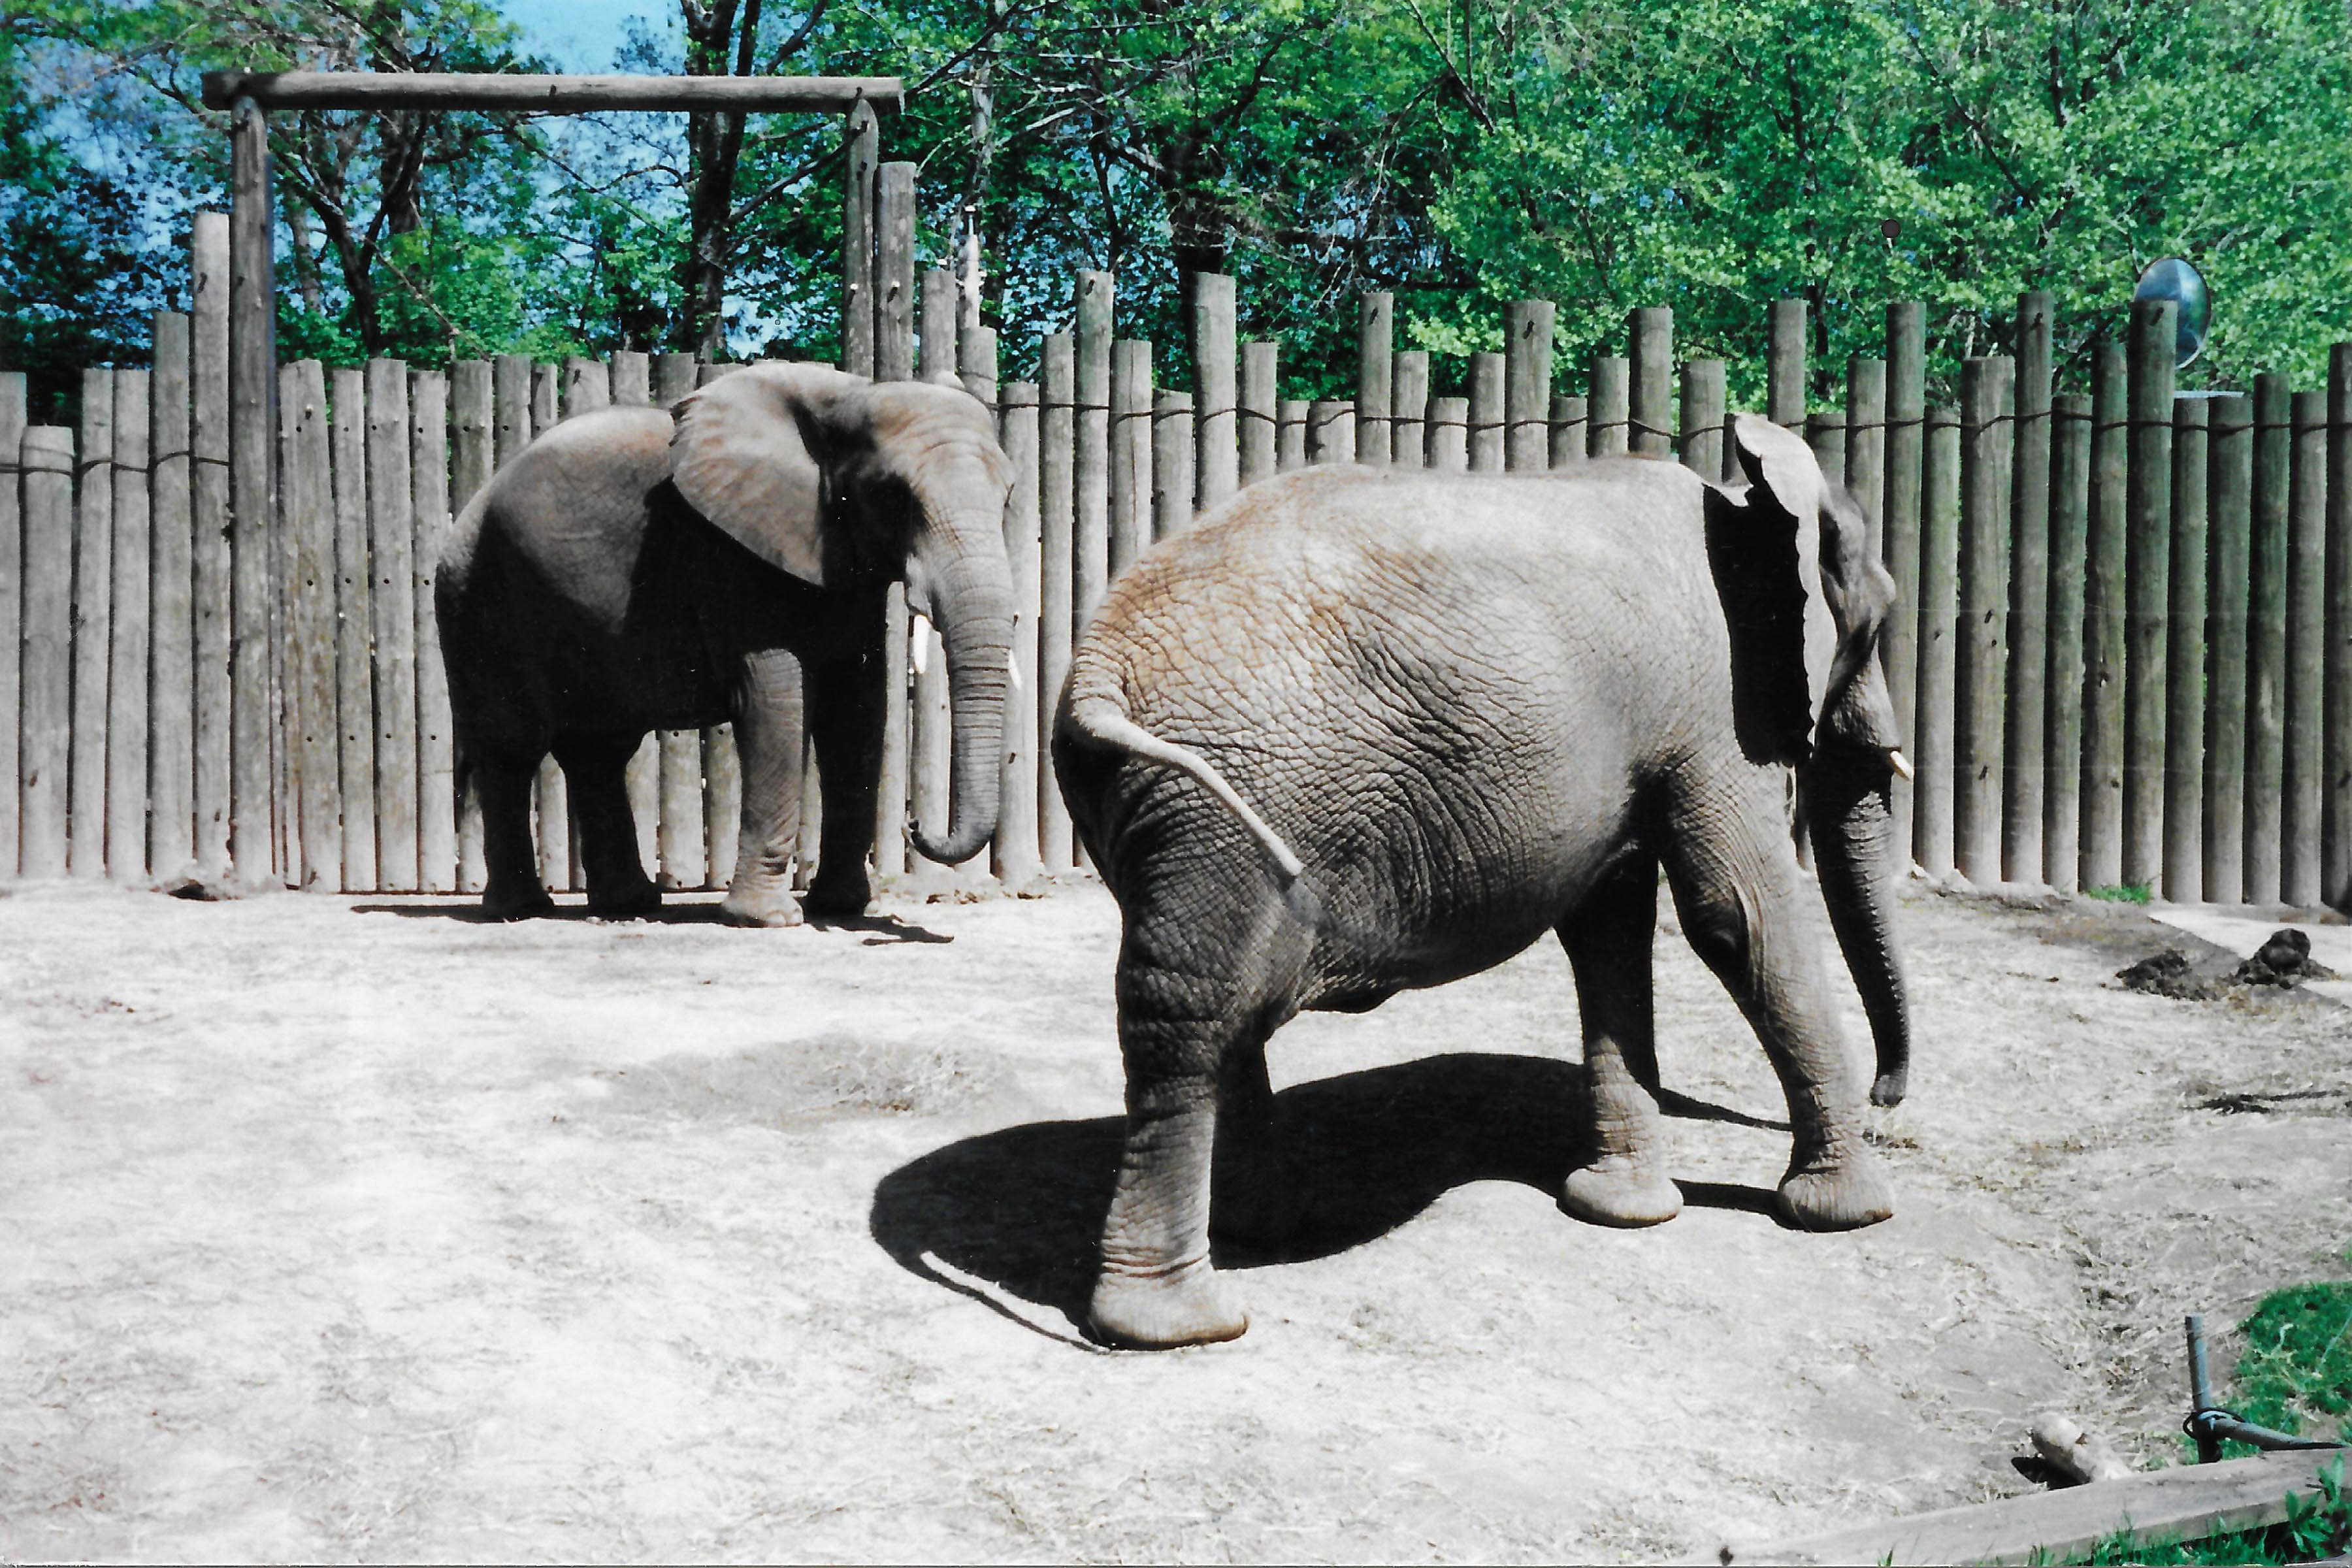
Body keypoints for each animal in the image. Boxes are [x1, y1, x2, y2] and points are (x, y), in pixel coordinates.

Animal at [436, 362, 1016, 925]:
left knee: (598, 749)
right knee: (512, 748)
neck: (849, 396)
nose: (915, 824)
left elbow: (857, 709)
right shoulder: (734, 555)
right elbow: (777, 702)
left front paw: (844, 908)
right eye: (894, 496)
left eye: (1009, 495)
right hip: (478, 601)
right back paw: (522, 911)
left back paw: (627, 906)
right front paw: (768, 920)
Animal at [1051, 413, 1911, 1349]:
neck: (1748, 499)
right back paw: (1182, 1325)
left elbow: (1610, 928)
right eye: (1878, 625)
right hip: (1218, 801)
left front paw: (1620, 1212)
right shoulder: (1715, 708)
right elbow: (1737, 915)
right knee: (1194, 1015)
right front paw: (1850, 1214)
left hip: (1163, 808)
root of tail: (1097, 672)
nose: (1888, 1102)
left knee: (1216, 999)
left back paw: (1260, 1230)